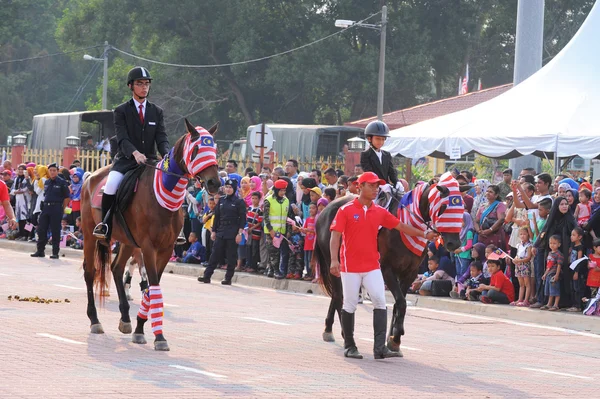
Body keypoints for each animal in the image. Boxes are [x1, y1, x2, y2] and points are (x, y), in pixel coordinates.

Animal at [79, 118, 220, 350]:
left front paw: (139, 328)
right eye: (197, 149)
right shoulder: (148, 247)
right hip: (91, 237)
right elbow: (153, 286)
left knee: (117, 269)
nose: (214, 183)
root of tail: (90, 176)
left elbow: (150, 288)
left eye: (214, 149)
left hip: (127, 241)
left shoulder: (165, 249)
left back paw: (125, 319)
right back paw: (94, 320)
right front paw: (158, 336)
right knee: (90, 272)